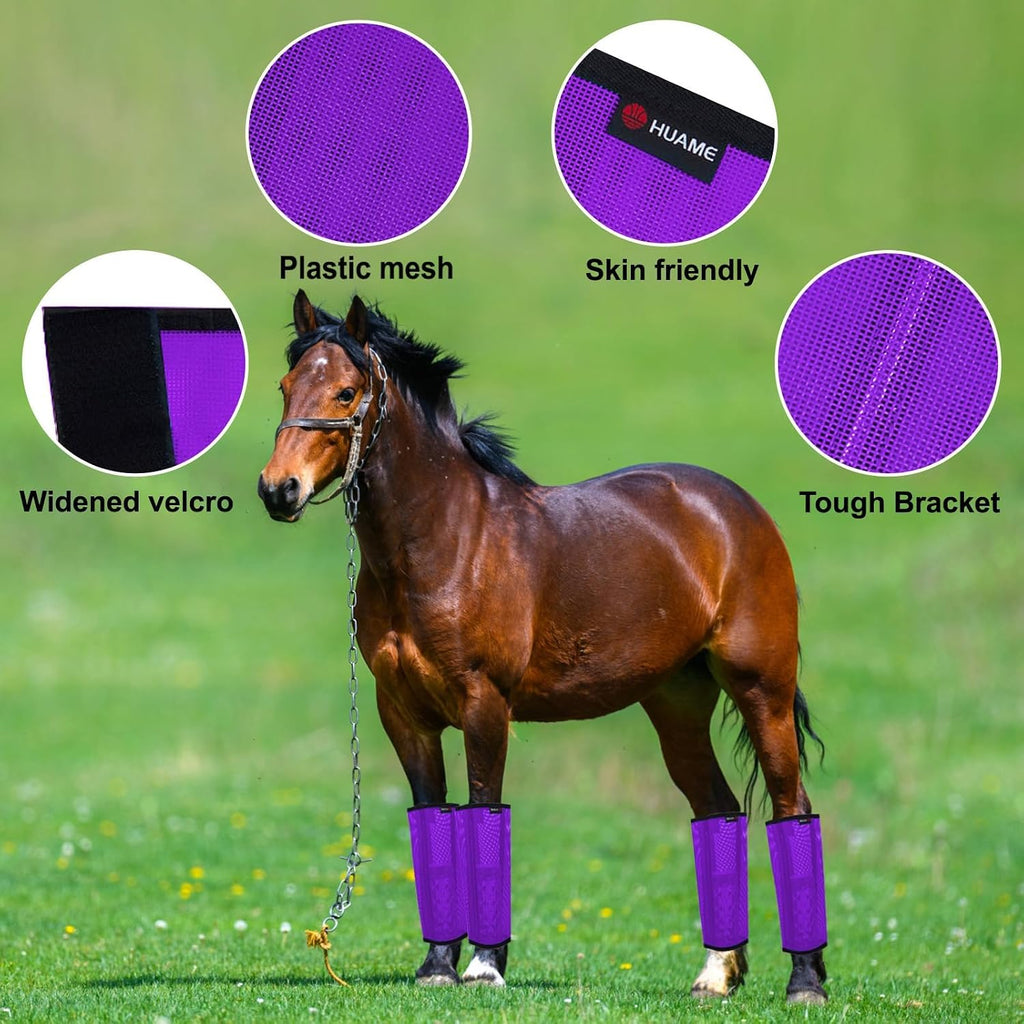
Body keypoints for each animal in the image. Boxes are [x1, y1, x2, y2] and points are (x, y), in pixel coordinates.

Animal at [258, 291, 829, 1004]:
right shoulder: (404, 714)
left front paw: (483, 965)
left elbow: (483, 811)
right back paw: (716, 973)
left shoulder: (484, 704)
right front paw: (437, 965)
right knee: (718, 812)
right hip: (677, 708)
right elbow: (433, 817)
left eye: (345, 391)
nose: (278, 490)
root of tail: (738, 509)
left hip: (762, 693)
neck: (444, 541)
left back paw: (805, 981)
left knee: (792, 808)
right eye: (286, 386)